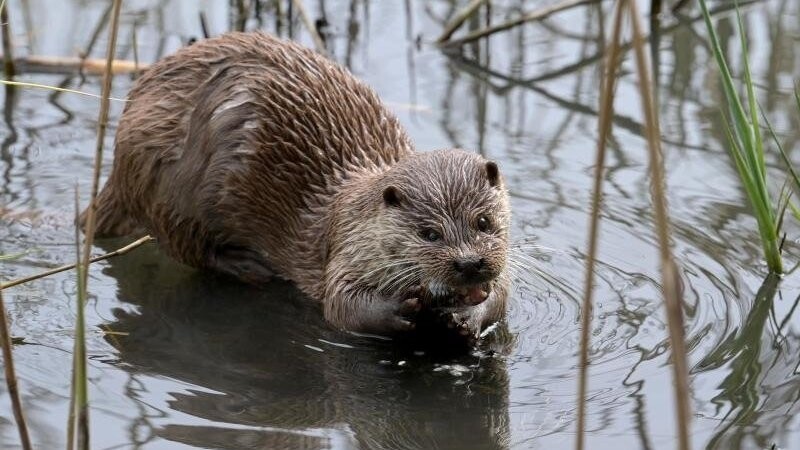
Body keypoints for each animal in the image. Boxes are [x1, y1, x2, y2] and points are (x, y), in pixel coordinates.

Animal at [86, 31, 512, 342]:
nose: (470, 263)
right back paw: (249, 266)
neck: (355, 214)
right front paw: (399, 308)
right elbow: (341, 308)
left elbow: (501, 297)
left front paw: (468, 315)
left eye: (484, 222)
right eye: (429, 234)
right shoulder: (346, 251)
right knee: (188, 245)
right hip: (171, 185)